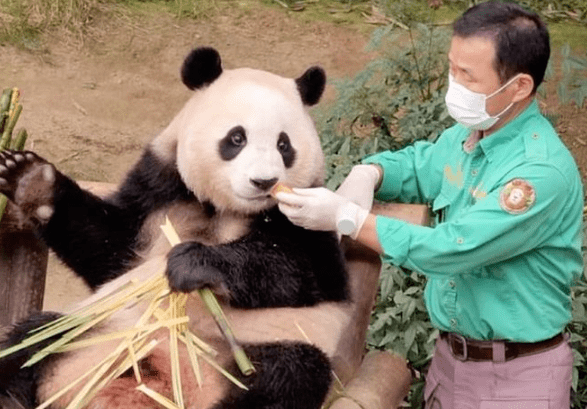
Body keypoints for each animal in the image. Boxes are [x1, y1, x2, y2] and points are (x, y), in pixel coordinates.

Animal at [0, 47, 352, 408]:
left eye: (284, 145)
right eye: (237, 138)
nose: (264, 181)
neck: (225, 209)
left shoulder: (306, 217)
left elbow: (300, 271)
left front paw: (193, 263)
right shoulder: (159, 191)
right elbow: (108, 246)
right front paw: (31, 180)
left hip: (258, 348)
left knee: (290, 373)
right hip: (92, 331)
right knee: (32, 340)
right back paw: (13, 393)